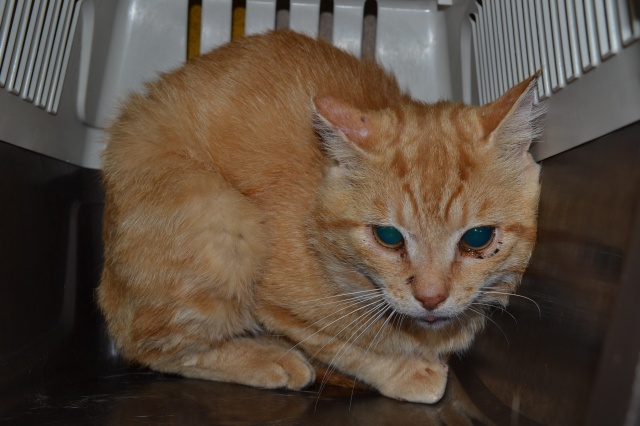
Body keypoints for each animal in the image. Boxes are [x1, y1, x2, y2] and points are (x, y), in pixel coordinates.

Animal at [98, 30, 544, 404]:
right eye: (388, 237)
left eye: (477, 238)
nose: (431, 298)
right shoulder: (276, 305)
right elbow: (343, 345)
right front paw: (406, 372)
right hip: (222, 223)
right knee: (151, 349)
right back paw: (268, 358)